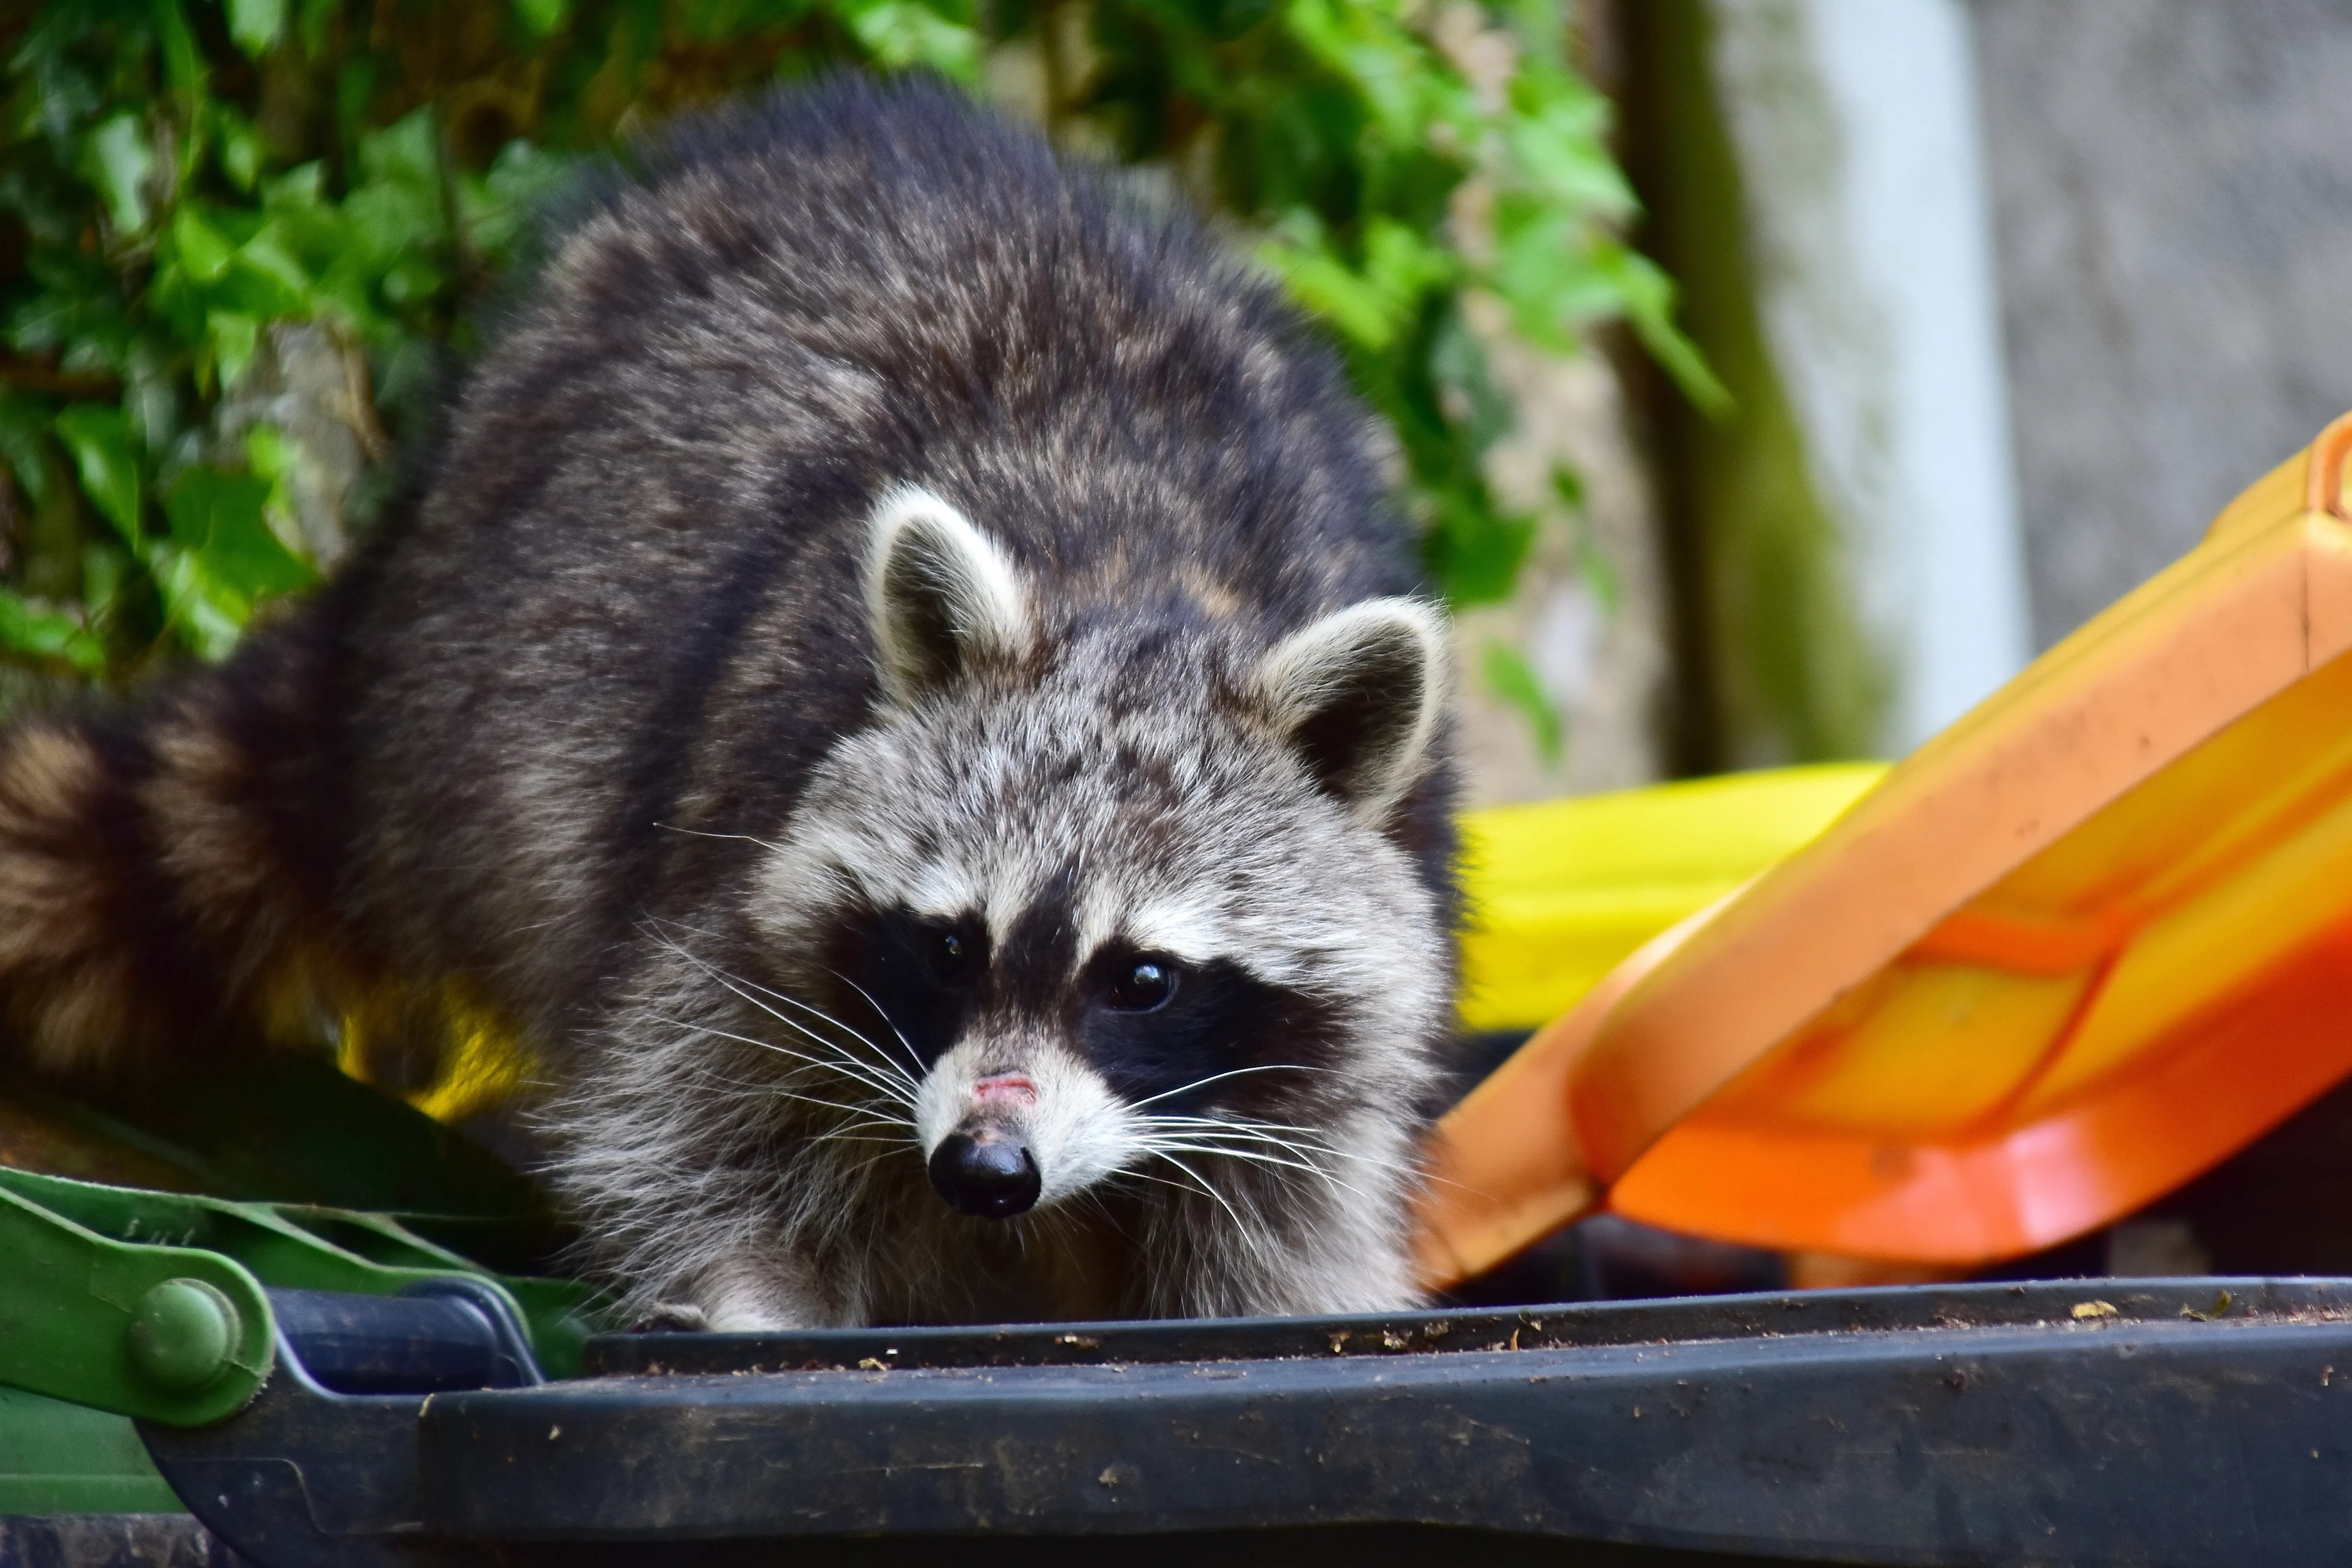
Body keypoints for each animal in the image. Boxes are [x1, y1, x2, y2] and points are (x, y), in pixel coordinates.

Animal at [0, 75, 1459, 1328]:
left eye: (1143, 978)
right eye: (949, 945)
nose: (985, 1167)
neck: (1142, 588)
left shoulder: (1320, 1044)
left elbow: (1286, 1219)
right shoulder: (732, 858)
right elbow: (689, 1129)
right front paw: (749, 1295)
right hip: (514, 700)